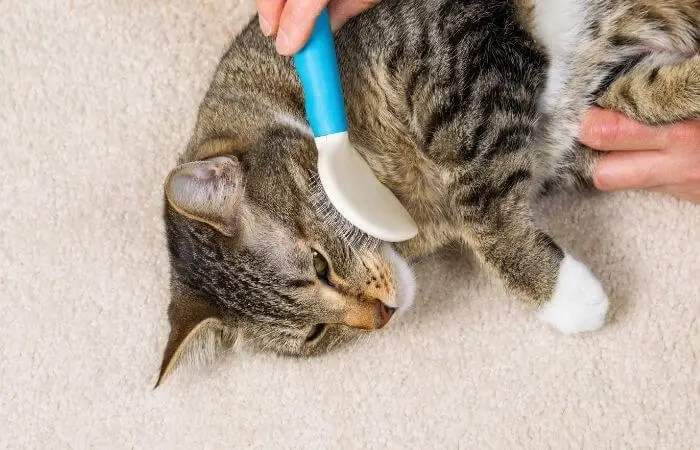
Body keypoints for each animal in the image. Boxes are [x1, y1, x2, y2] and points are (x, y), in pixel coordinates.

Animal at [154, 0, 700, 386]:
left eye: (319, 264)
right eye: (315, 333)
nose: (381, 317)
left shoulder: (453, 55)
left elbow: (481, 200)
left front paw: (561, 294)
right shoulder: (579, 118)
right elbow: (643, 92)